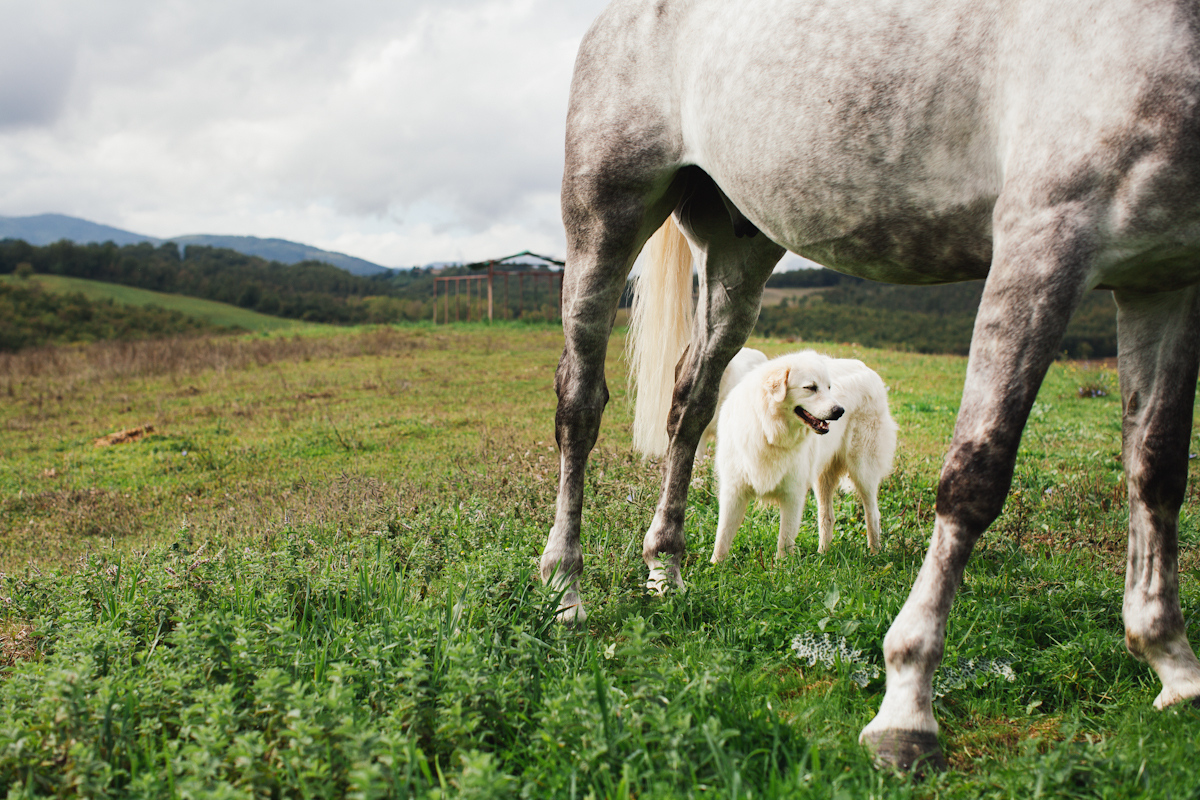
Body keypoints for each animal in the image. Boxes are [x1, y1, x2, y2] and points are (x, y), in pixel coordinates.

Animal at [705, 350, 897, 563]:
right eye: (810, 388)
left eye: (829, 388)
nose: (839, 411)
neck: (768, 430)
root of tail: (866, 368)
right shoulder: (733, 491)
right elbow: (722, 537)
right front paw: (715, 565)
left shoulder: (793, 494)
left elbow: (784, 539)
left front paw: (781, 567)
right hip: (822, 479)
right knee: (827, 516)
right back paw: (823, 555)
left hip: (862, 471)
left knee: (873, 514)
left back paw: (875, 554)